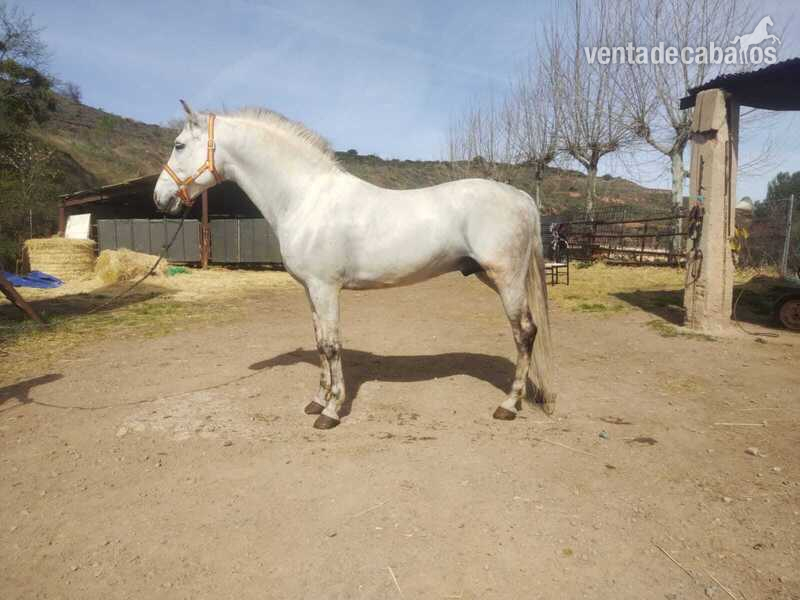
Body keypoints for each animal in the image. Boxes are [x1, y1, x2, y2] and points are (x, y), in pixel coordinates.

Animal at [153, 101, 555, 429]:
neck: (305, 197)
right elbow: (319, 343)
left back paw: (508, 405)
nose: (160, 198)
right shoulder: (310, 290)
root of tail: (520, 196)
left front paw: (331, 411)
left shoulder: (325, 287)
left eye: (179, 145)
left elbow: (332, 345)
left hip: (506, 278)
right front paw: (317, 401)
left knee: (524, 332)